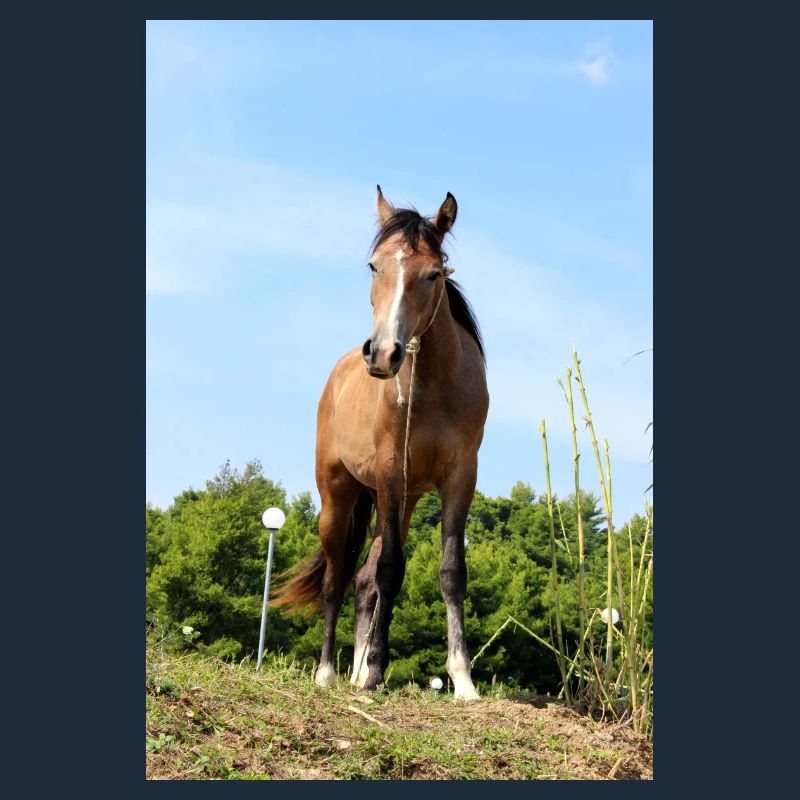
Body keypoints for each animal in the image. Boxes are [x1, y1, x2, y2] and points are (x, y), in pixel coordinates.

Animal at [272, 186, 488, 702]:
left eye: (434, 273)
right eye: (374, 266)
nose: (384, 353)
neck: (433, 387)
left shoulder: (460, 477)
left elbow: (450, 572)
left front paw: (462, 679)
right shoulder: (391, 471)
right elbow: (391, 570)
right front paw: (374, 672)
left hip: (402, 501)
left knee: (362, 580)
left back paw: (353, 669)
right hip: (339, 497)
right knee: (337, 581)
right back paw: (330, 672)